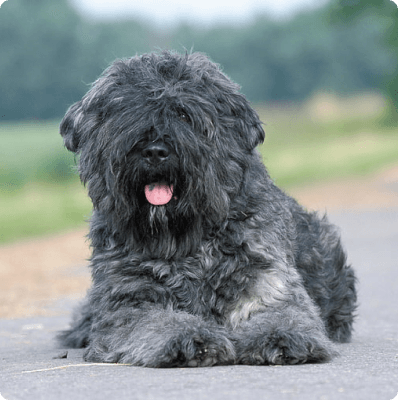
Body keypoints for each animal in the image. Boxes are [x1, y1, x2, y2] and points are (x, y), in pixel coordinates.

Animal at [56, 51, 358, 368]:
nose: (155, 152)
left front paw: (281, 336)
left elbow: (283, 313)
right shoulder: (127, 301)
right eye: (128, 113)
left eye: (184, 114)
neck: (184, 237)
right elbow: (158, 320)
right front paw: (191, 339)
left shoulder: (266, 280)